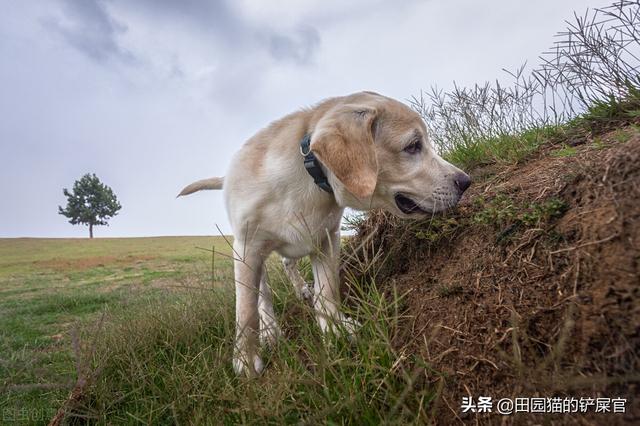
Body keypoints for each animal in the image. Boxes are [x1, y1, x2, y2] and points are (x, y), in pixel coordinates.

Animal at [180, 90, 470, 376]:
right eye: (412, 146)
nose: (466, 182)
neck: (308, 181)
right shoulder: (248, 249)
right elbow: (247, 310)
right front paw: (246, 359)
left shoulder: (327, 239)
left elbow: (328, 290)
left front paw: (334, 329)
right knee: (263, 291)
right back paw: (271, 330)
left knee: (288, 262)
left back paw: (302, 292)